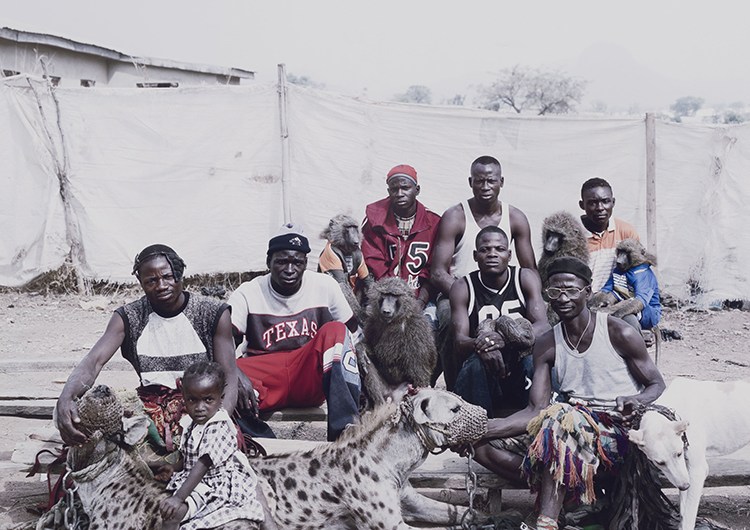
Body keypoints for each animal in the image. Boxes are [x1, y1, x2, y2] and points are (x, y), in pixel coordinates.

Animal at [628, 376, 750, 528]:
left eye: (679, 453)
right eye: (659, 463)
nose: (685, 486)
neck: (674, 410)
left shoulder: (697, 471)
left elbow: (688, 517)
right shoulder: (685, 471)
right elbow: (683, 512)